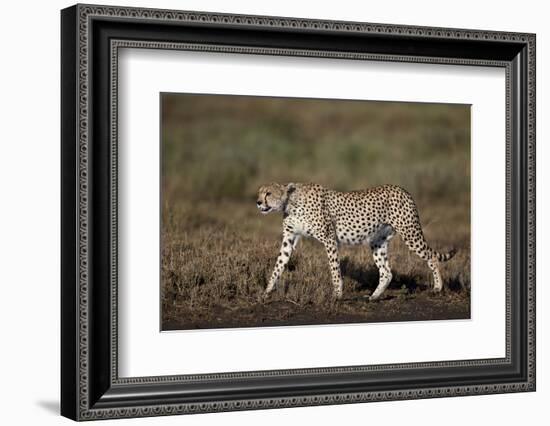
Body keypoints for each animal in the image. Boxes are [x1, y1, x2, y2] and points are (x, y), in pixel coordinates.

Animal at [258, 182, 458, 300]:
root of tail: (402, 189)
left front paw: (337, 294)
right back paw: (374, 297)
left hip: (410, 233)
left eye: (268, 193)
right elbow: (279, 265)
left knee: (432, 257)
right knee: (387, 272)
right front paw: (267, 290)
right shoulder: (289, 239)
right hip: (378, 242)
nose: (258, 202)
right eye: (260, 193)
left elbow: (334, 269)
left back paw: (438, 287)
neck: (290, 203)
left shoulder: (330, 239)